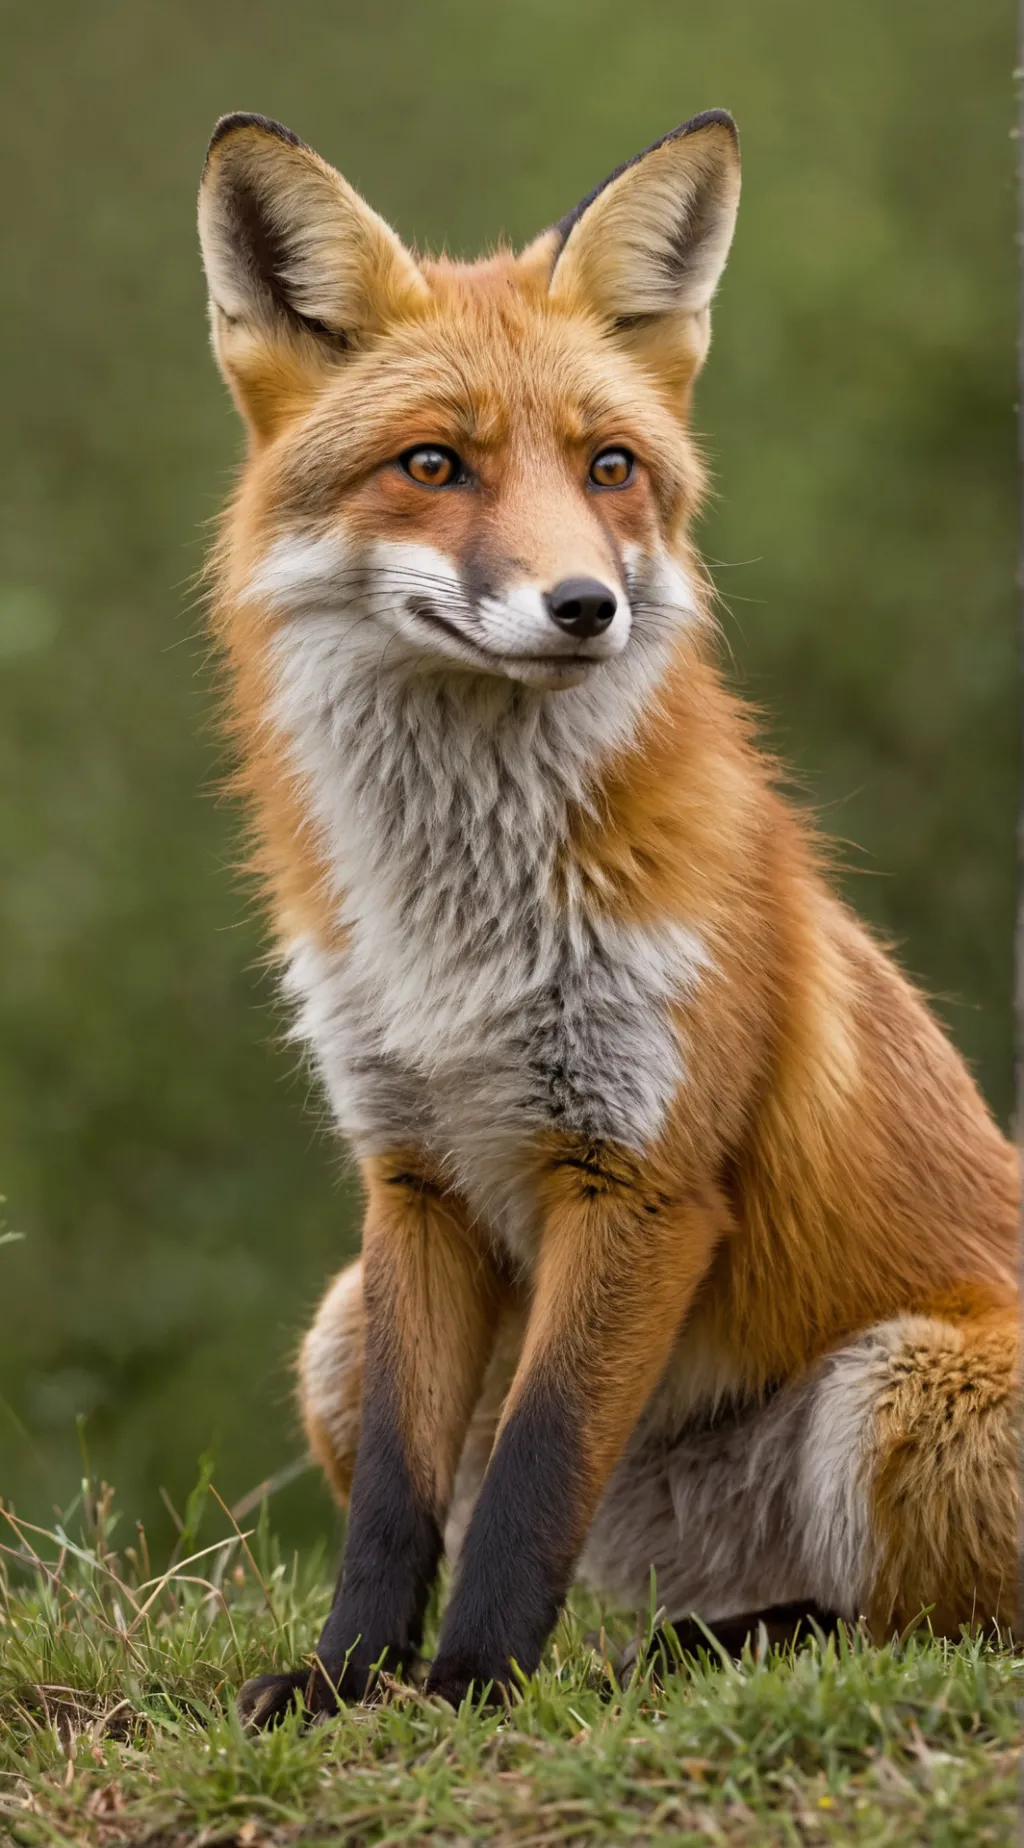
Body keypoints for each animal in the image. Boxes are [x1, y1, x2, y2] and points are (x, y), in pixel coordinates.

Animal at [196, 108, 1019, 1724]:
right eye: (433, 463)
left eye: (610, 466)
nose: (587, 606)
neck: (458, 934)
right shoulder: (412, 1175)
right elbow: (400, 1500)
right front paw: (345, 1681)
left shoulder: (640, 1174)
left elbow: (531, 1472)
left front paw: (468, 1688)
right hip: (335, 1332)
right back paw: (670, 1646)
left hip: (899, 1392)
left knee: (914, 1629)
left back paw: (701, 1655)